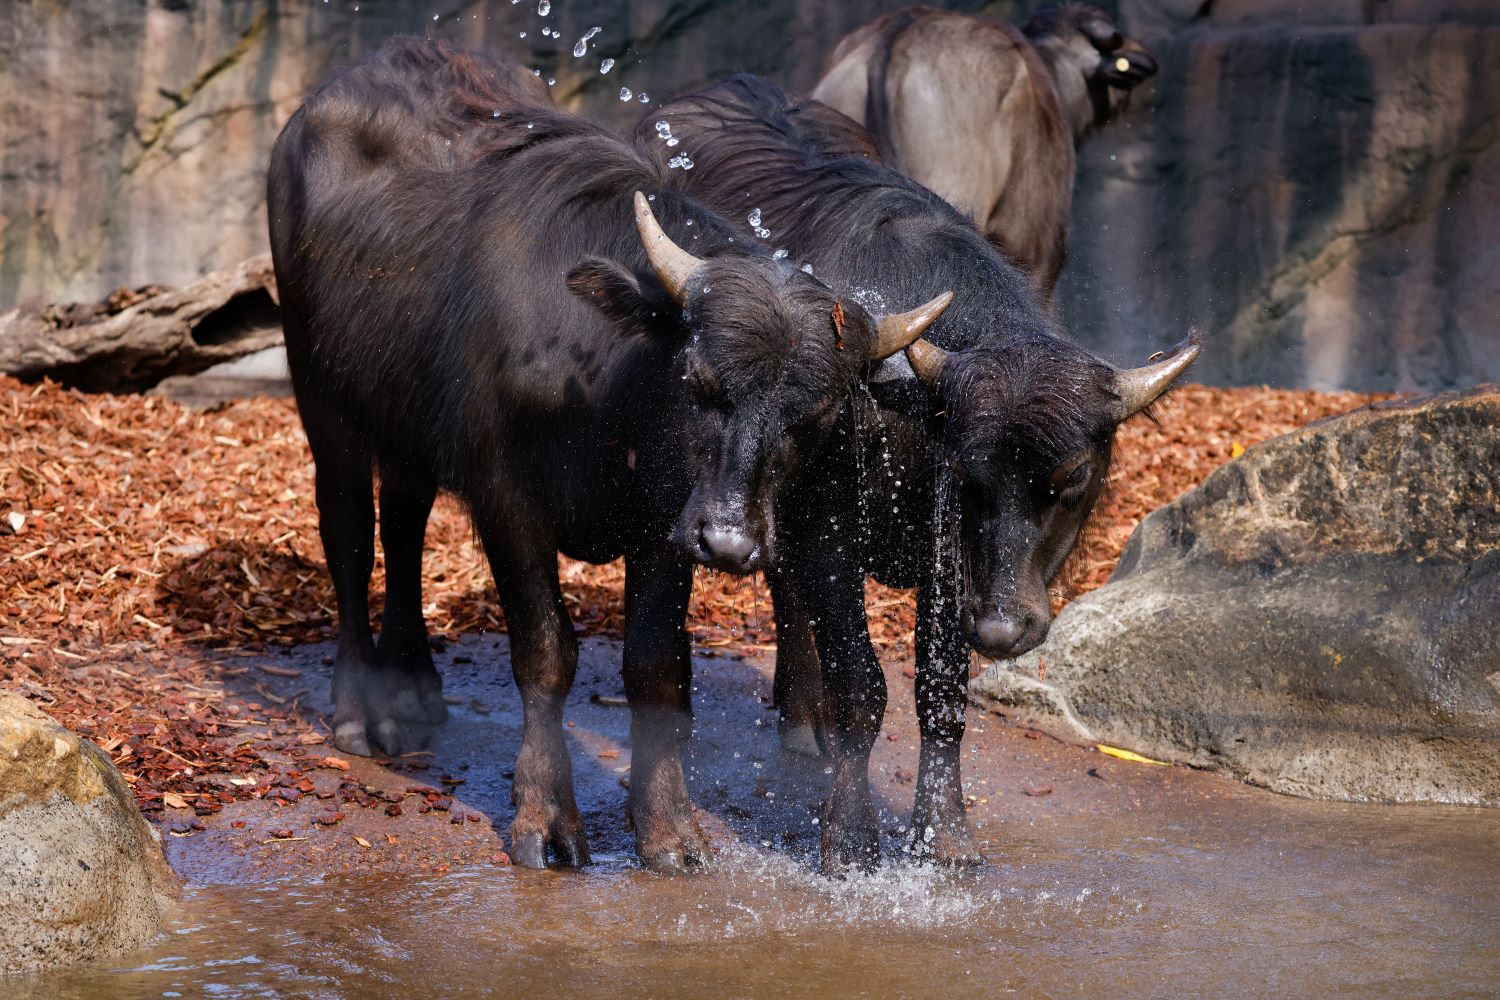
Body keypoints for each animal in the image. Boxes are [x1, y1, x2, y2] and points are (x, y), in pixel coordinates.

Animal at [267, 40, 946, 871]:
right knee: (348, 534)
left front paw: (667, 827)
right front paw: (545, 817)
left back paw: (413, 686)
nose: (732, 542)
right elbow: (546, 652)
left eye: (813, 415)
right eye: (699, 380)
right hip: (317, 386)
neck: (605, 389)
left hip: (405, 420)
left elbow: (656, 666)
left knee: (403, 522)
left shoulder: (666, 522)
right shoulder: (508, 500)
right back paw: (360, 710)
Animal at [637, 75, 1196, 872]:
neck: (907, 412)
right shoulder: (832, 528)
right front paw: (851, 836)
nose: (1002, 627)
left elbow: (940, 688)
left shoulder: (951, 563)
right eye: (970, 475)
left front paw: (946, 833)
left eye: (1072, 478)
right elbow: (862, 685)